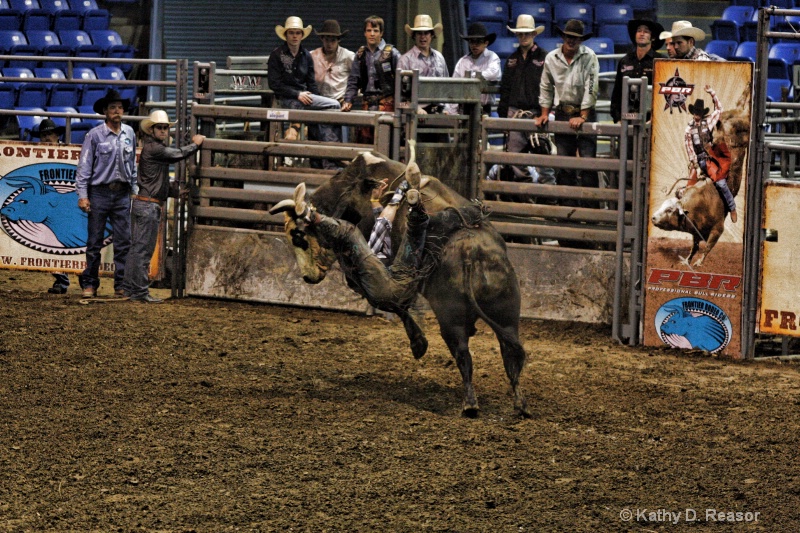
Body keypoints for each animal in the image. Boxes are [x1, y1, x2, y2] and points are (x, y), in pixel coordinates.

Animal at [270, 152, 532, 418]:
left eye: (298, 238)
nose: (307, 277)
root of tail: (470, 251)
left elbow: (396, 304)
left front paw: (418, 343)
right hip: (505, 312)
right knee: (510, 355)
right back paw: (520, 404)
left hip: (451, 317)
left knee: (463, 355)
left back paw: (470, 404)